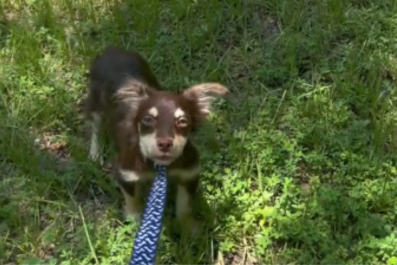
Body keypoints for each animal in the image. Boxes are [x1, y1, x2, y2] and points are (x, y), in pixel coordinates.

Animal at [83, 45, 229, 231]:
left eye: (183, 121)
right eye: (147, 119)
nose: (165, 143)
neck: (159, 167)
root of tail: (112, 50)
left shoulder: (189, 174)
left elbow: (184, 208)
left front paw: (189, 228)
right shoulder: (125, 173)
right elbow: (133, 199)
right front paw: (134, 219)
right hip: (95, 103)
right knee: (96, 128)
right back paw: (95, 154)